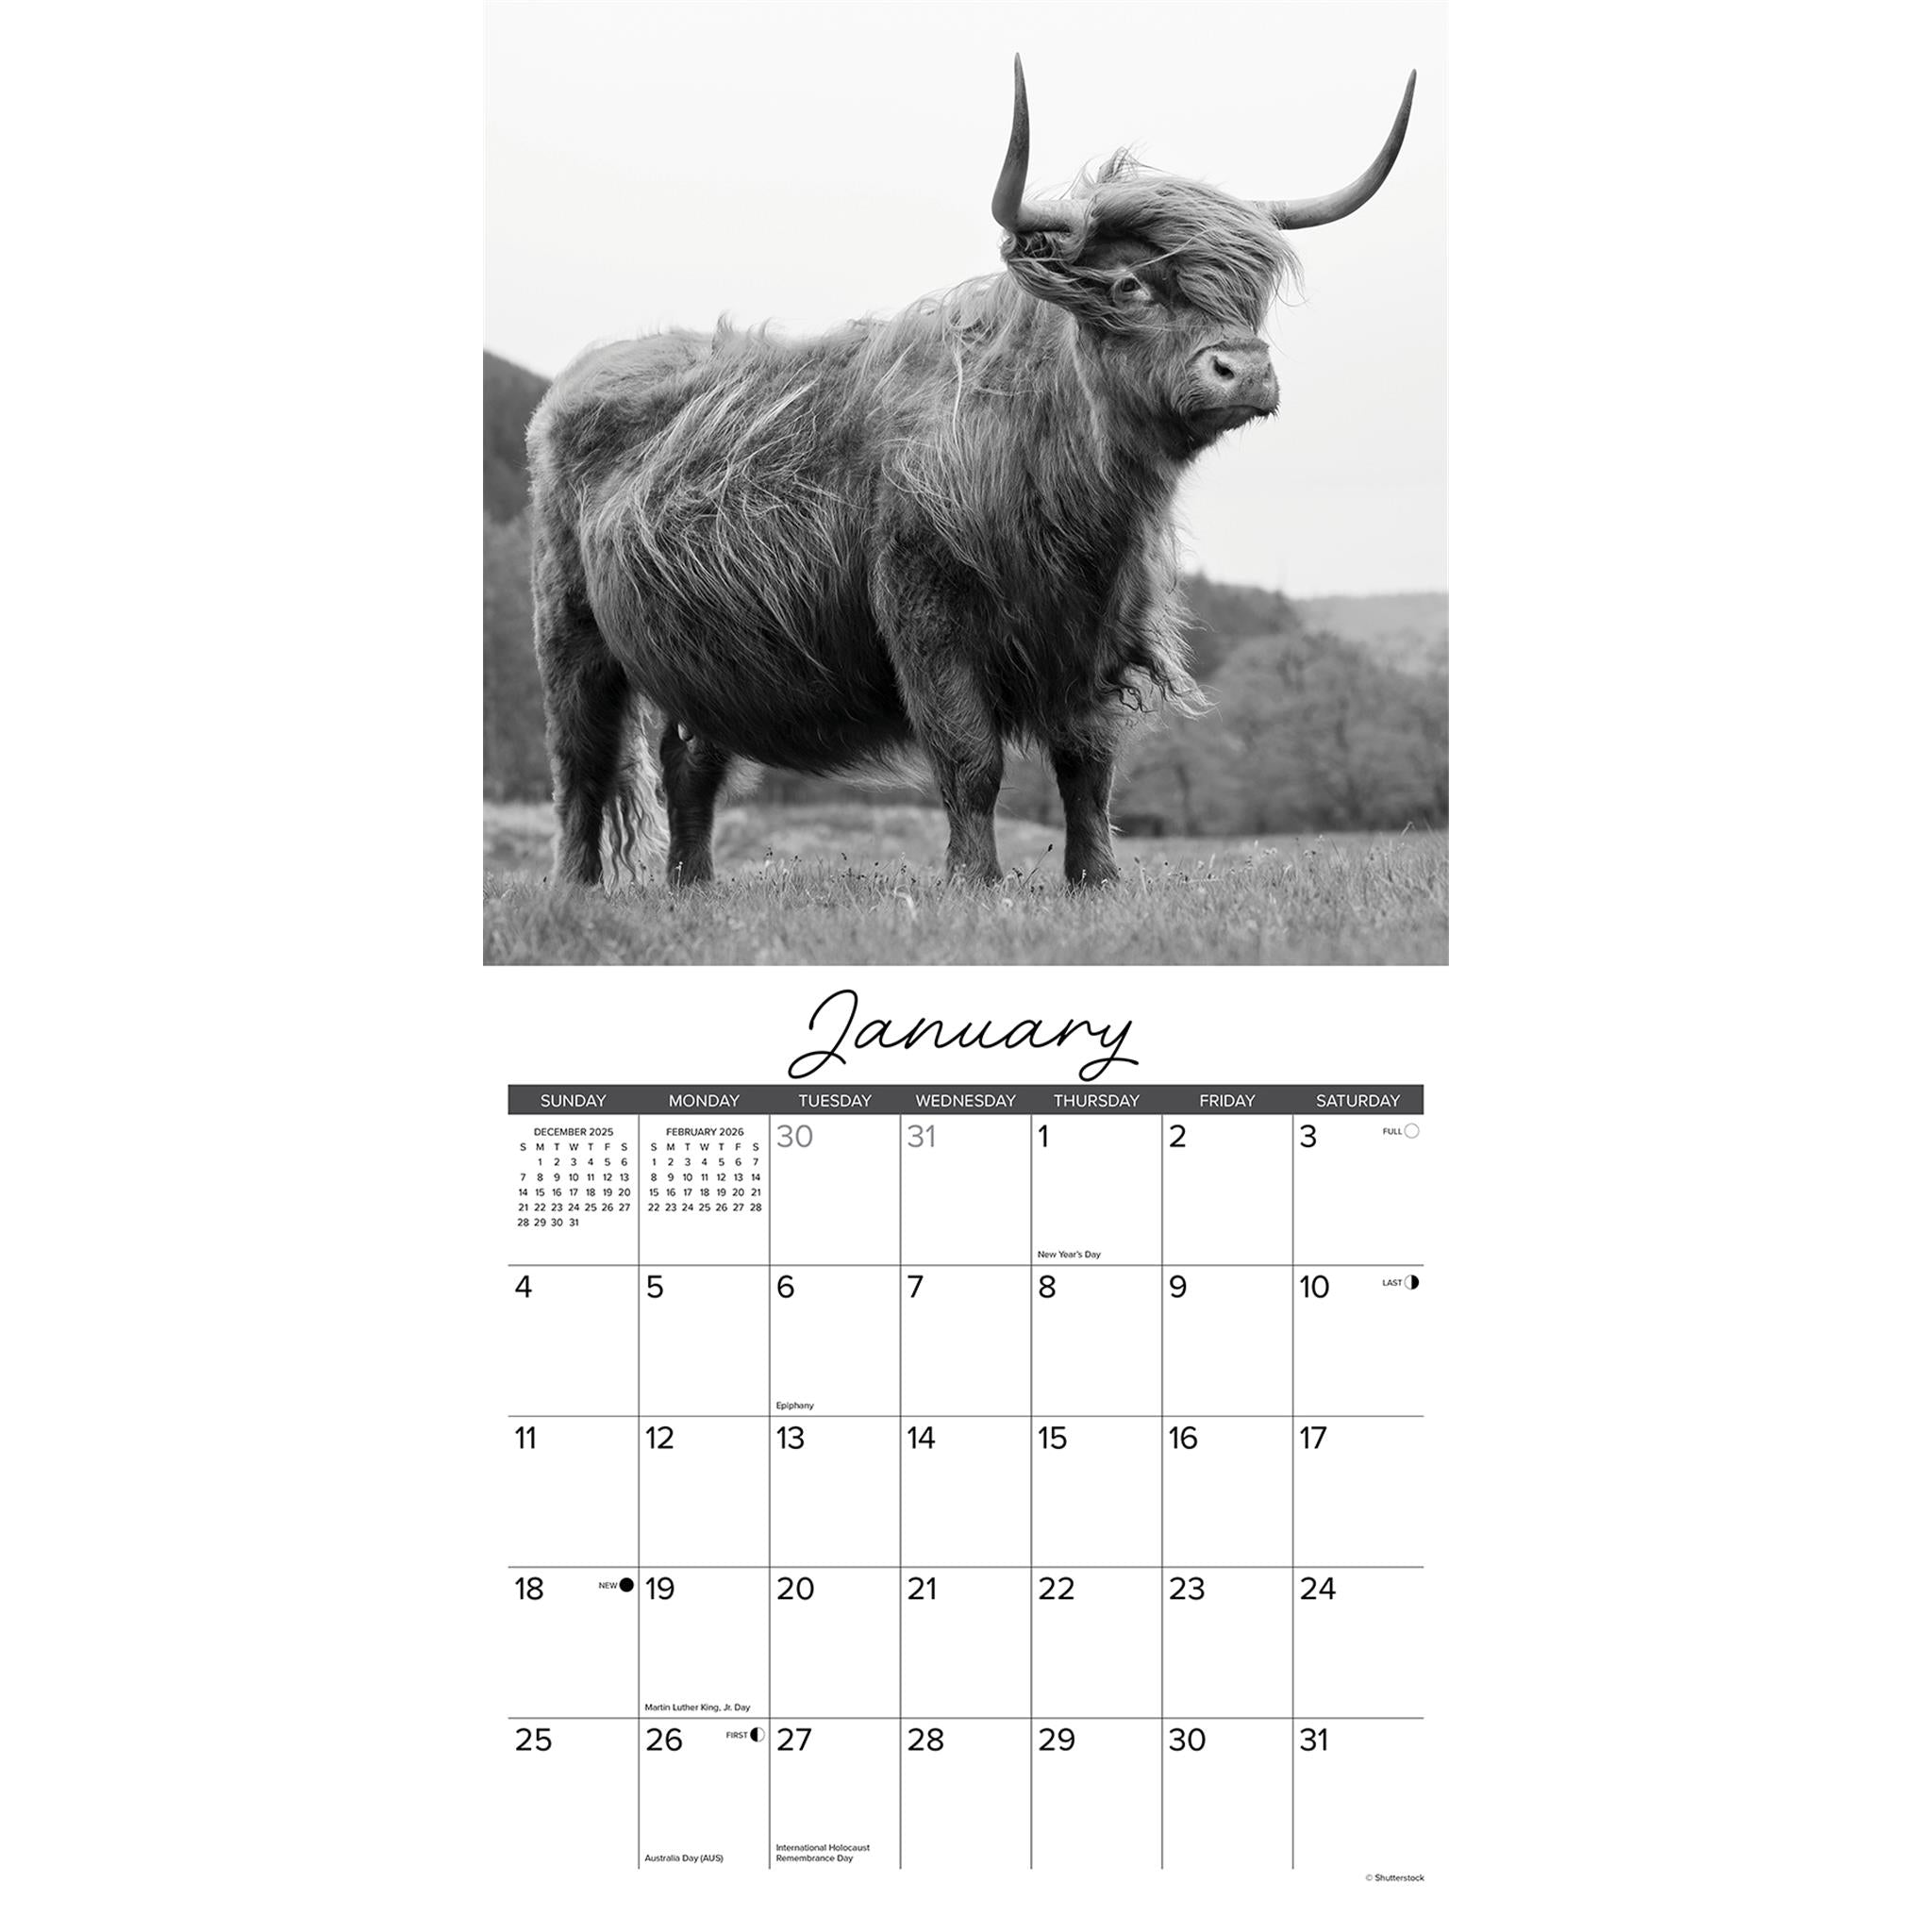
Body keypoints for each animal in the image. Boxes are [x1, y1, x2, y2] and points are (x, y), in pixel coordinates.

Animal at [526, 57, 1414, 890]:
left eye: (1250, 296)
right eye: (1131, 285)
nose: (1245, 370)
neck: (1072, 499)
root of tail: (593, 367)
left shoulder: (1097, 632)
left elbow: (1088, 766)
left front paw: (1096, 879)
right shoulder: (926, 614)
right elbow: (970, 757)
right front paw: (974, 880)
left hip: (703, 657)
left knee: (690, 762)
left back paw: (694, 883)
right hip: (569, 631)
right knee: (581, 766)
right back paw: (576, 886)